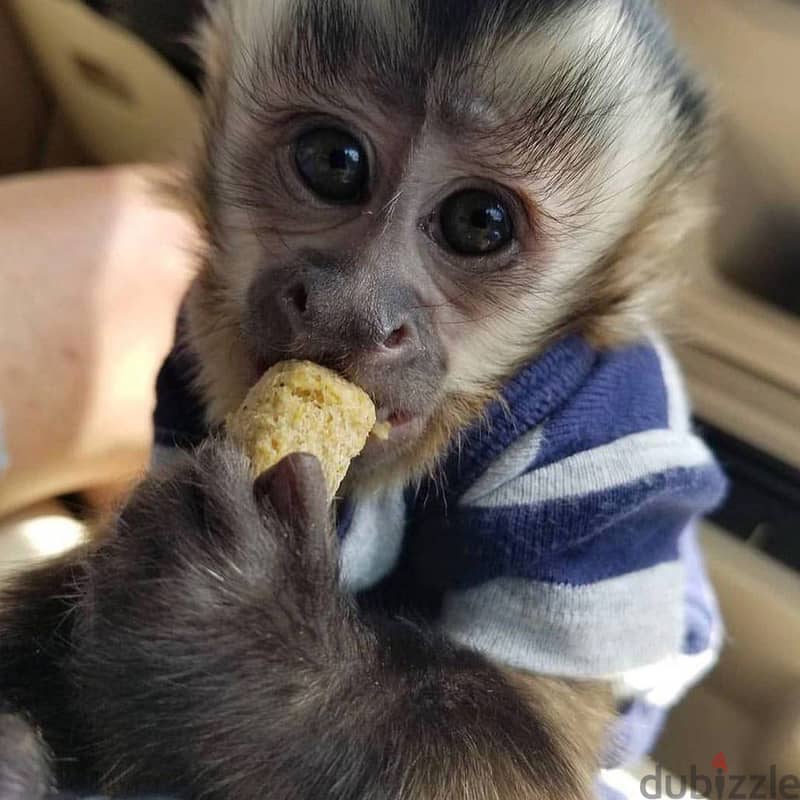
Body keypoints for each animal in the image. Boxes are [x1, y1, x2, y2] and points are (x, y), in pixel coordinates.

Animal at [0, 1, 728, 798]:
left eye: (479, 222)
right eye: (333, 162)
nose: (349, 307)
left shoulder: (601, 445)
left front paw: (252, 628)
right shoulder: (188, 368)